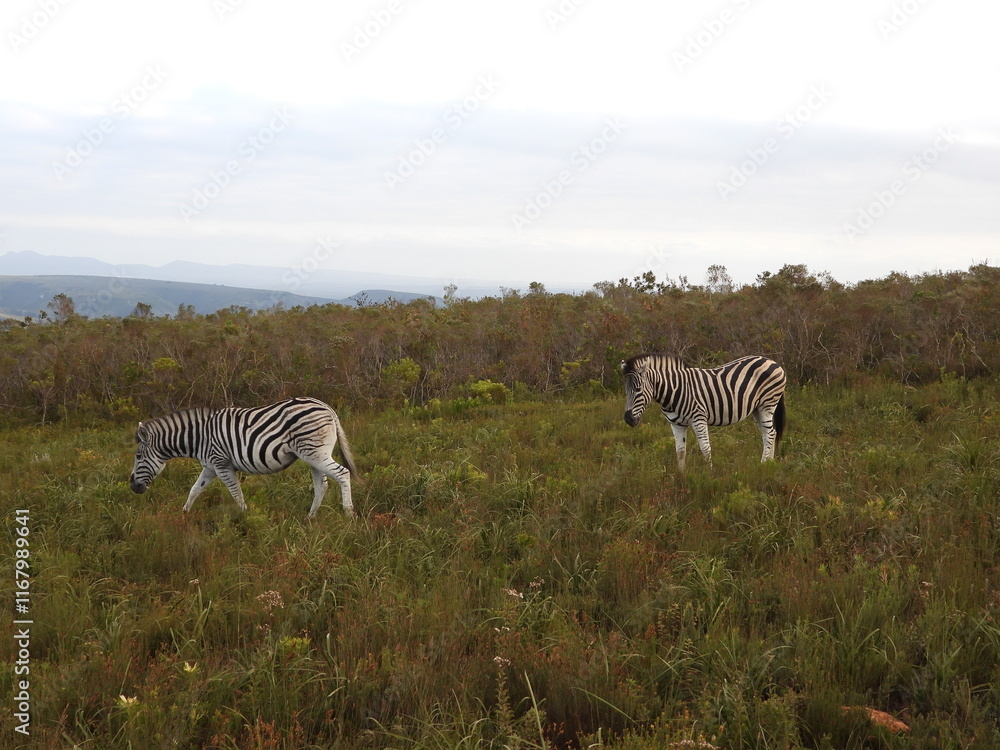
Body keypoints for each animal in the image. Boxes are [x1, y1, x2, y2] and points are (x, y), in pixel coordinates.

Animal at [129, 397, 359, 517]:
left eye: (139, 456)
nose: (133, 487)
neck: (199, 437)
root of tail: (326, 406)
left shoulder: (222, 464)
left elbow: (236, 492)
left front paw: (245, 518)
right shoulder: (210, 466)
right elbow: (195, 489)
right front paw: (184, 515)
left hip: (315, 452)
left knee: (342, 473)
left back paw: (348, 513)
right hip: (313, 455)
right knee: (322, 485)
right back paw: (310, 518)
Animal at [621, 354, 786, 470]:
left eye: (638, 390)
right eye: (625, 391)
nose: (628, 419)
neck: (674, 390)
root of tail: (772, 361)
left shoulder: (698, 419)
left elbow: (705, 448)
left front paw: (709, 475)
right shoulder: (676, 424)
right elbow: (680, 450)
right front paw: (681, 475)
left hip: (767, 405)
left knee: (770, 433)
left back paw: (763, 464)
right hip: (757, 409)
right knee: (770, 433)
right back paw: (770, 463)